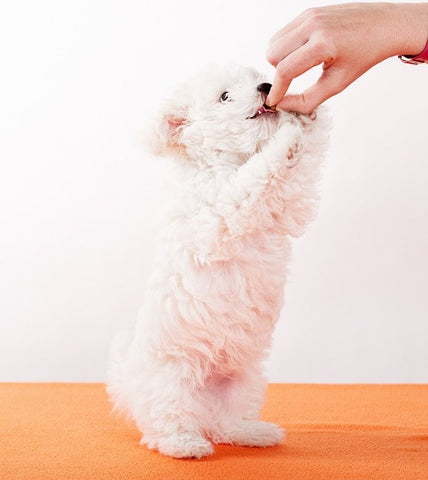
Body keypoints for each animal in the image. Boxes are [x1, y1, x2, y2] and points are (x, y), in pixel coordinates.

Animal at [106, 63, 328, 458]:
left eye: (256, 77)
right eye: (224, 96)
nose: (267, 86)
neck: (221, 162)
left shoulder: (289, 206)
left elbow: (296, 172)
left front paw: (306, 116)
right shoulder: (225, 209)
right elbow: (259, 173)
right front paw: (287, 133)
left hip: (244, 379)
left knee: (227, 422)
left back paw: (252, 433)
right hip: (171, 380)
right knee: (164, 421)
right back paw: (184, 444)